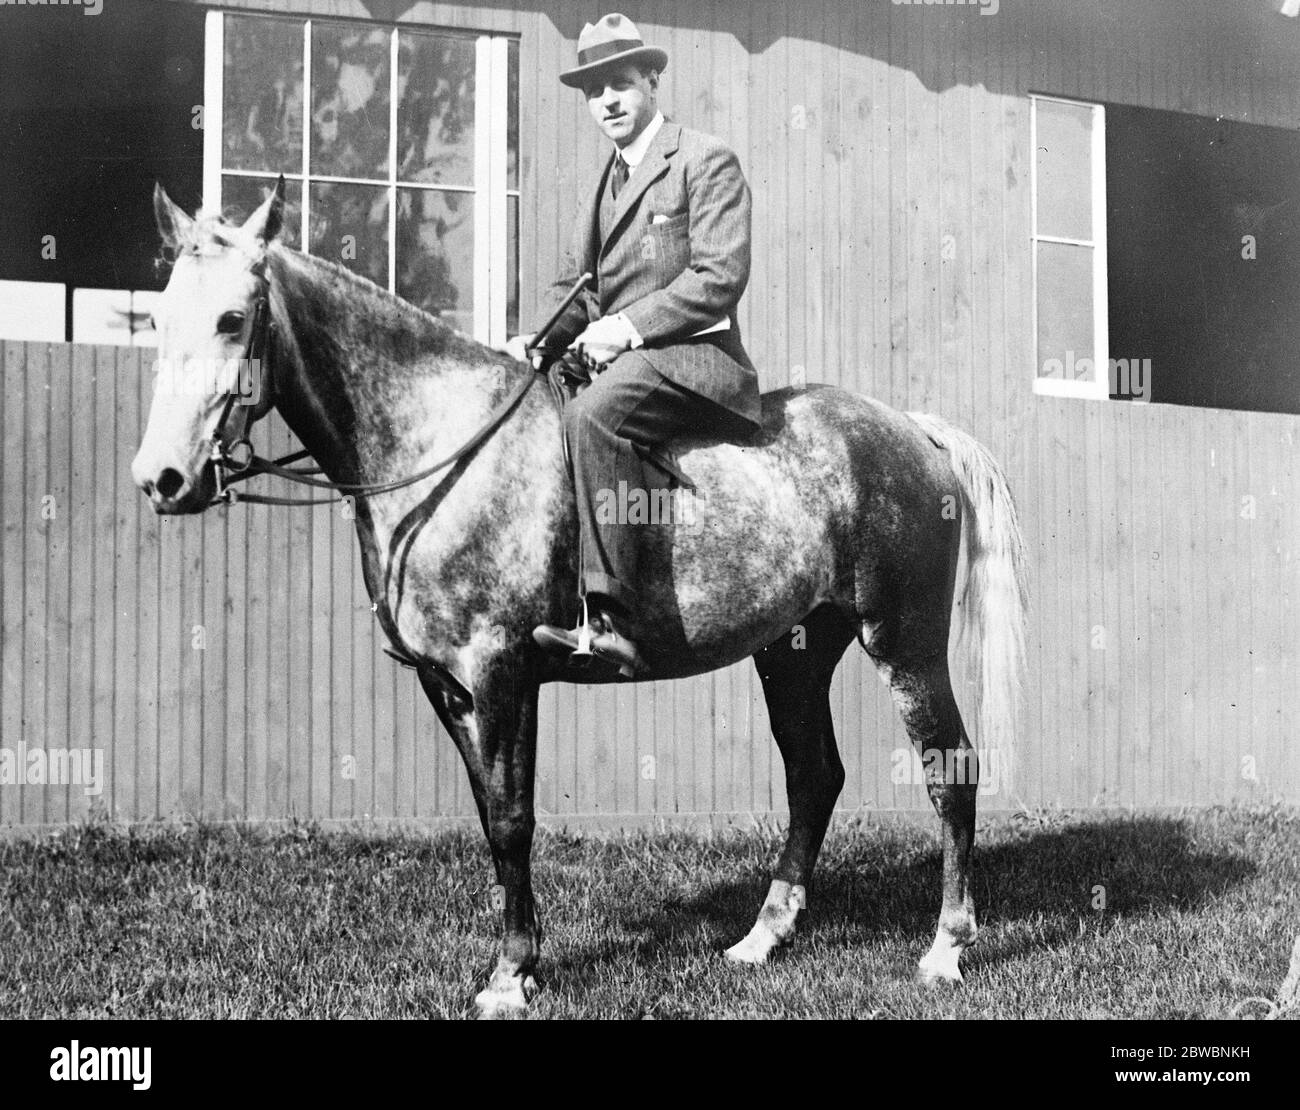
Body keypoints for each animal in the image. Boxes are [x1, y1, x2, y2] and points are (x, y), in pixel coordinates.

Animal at [131, 181, 1024, 1019]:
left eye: (233, 318)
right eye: (158, 318)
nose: (162, 479)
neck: (441, 447)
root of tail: (910, 428)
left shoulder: (500, 672)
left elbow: (513, 821)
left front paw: (509, 976)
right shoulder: (449, 687)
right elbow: (491, 818)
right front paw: (520, 962)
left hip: (904, 645)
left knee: (950, 774)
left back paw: (945, 949)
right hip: (796, 653)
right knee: (814, 776)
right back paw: (762, 938)